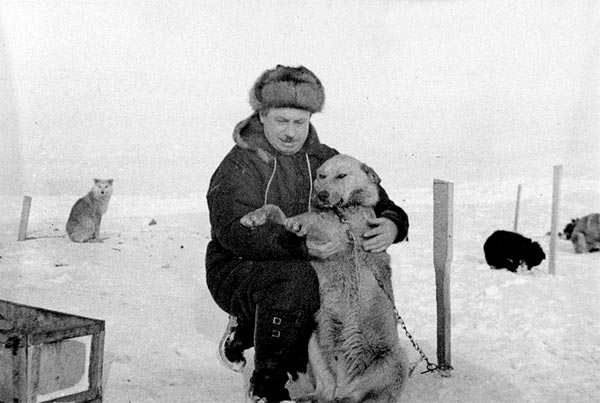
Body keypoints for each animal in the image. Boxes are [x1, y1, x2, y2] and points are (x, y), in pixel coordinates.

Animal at [241, 155, 406, 403]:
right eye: (321, 175)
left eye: (342, 175)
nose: (323, 195)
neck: (342, 210)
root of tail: (344, 383)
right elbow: (276, 209)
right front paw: (255, 216)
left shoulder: (336, 231)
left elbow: (312, 219)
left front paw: (298, 222)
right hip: (314, 348)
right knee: (325, 391)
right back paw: (308, 397)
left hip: (391, 361)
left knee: (362, 395)